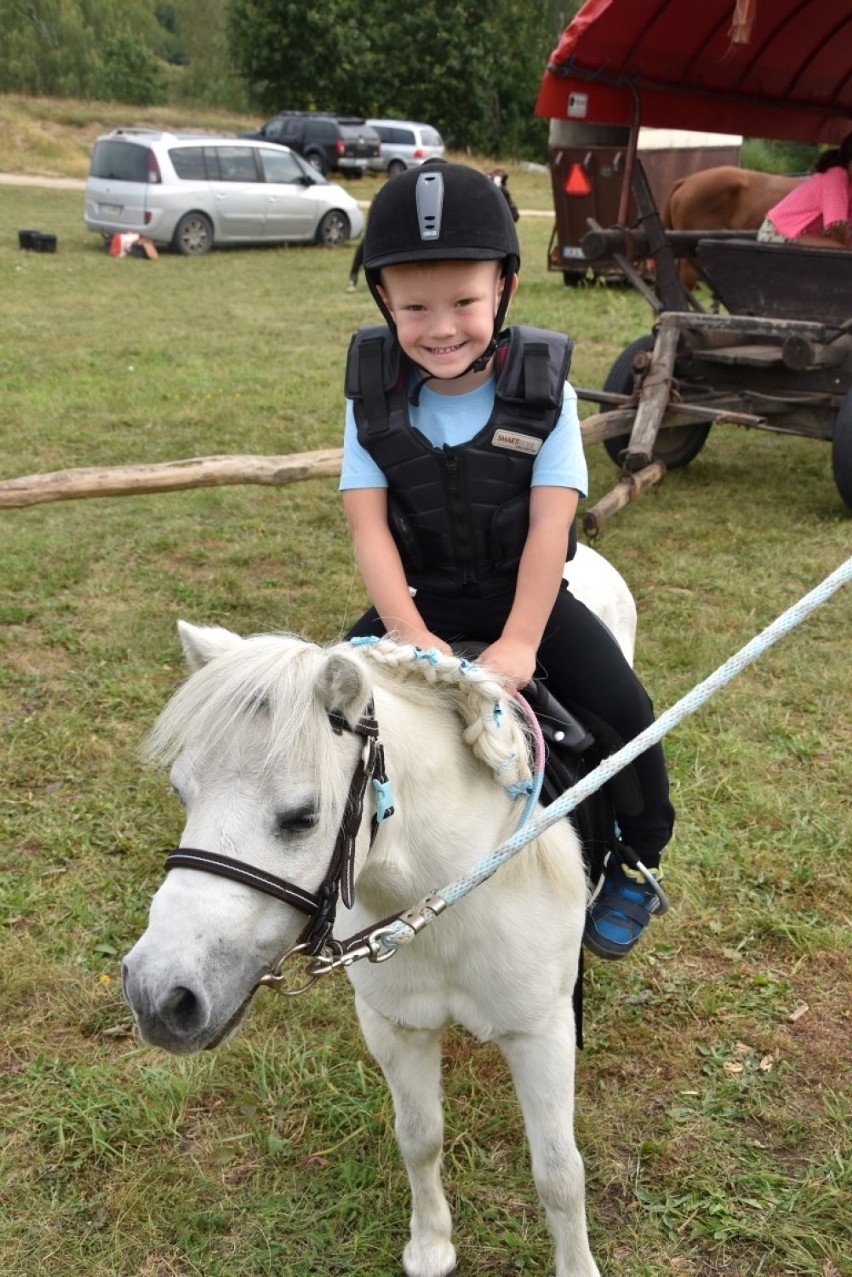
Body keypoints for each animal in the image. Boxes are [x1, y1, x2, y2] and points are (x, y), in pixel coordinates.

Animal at [123, 544, 636, 1277]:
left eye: (302, 816)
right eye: (180, 791)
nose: (159, 996)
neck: (446, 898)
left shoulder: (540, 1031)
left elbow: (559, 1172)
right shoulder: (396, 1025)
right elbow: (418, 1135)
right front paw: (431, 1245)